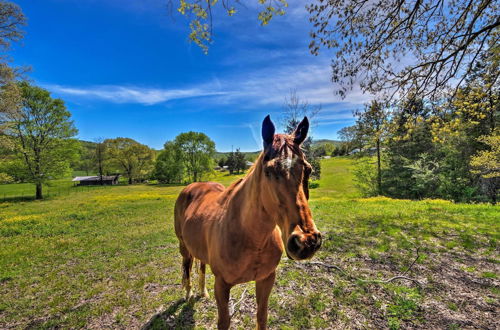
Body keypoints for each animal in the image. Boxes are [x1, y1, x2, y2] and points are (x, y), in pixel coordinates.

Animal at [174, 114, 322, 328]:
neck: (252, 238)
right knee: (187, 267)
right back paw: (188, 293)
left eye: (308, 170)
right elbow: (224, 322)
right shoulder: (222, 284)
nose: (306, 242)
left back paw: (202, 292)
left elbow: (262, 317)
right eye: (268, 171)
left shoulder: (266, 279)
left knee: (201, 264)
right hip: (184, 246)